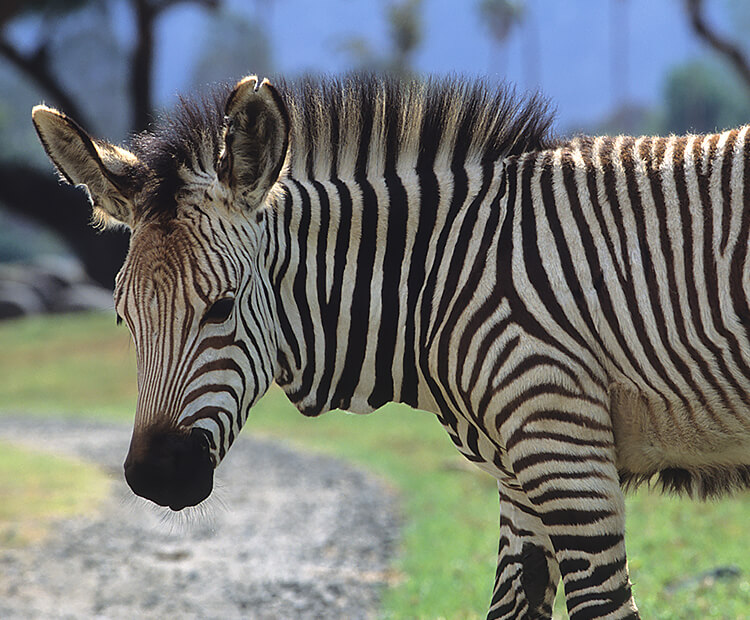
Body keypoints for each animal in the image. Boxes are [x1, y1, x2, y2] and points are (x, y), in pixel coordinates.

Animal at [32, 74, 750, 620]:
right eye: (123, 319)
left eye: (222, 307)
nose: (156, 477)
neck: (440, 275)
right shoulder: (521, 470)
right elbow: (510, 608)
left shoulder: (563, 446)